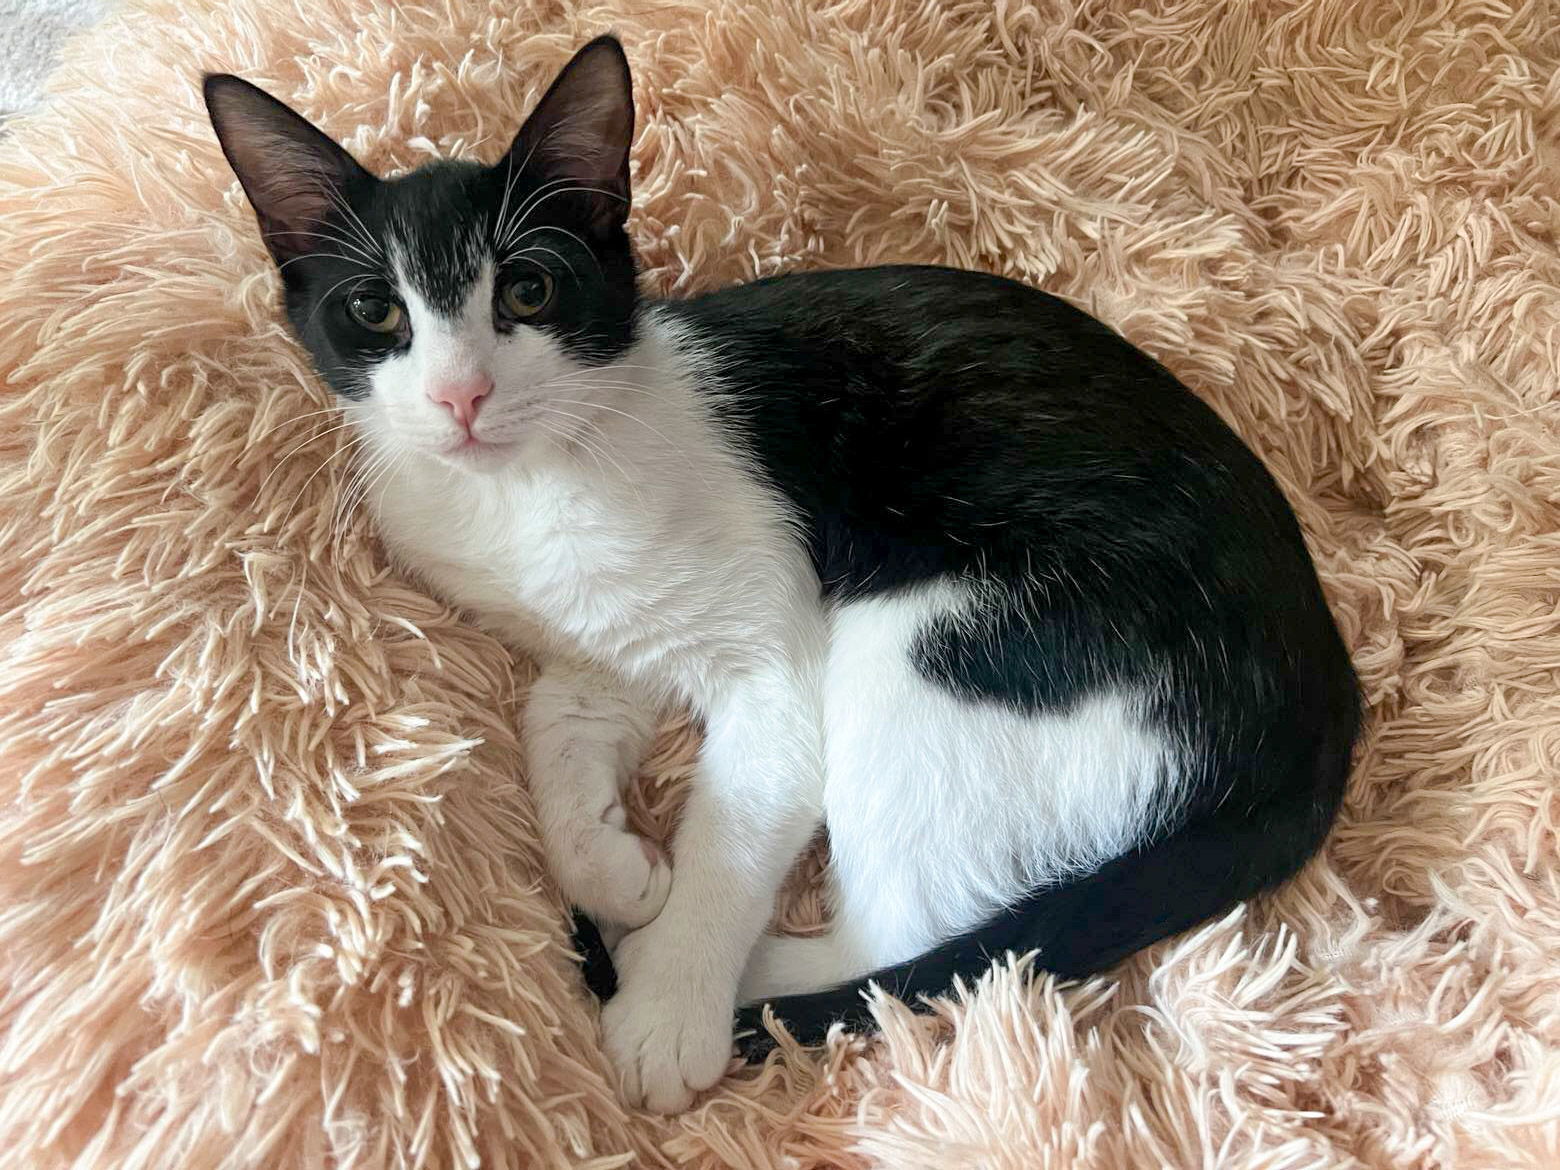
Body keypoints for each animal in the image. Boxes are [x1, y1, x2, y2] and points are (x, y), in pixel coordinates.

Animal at [210, 36, 1366, 1116]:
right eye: (377, 312)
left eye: (528, 289)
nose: (461, 397)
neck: (533, 486)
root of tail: (1319, 713)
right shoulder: (594, 650)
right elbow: (554, 729)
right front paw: (613, 866)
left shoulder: (778, 658)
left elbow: (731, 836)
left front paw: (670, 999)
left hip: (930, 644)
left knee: (908, 949)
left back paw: (700, 980)